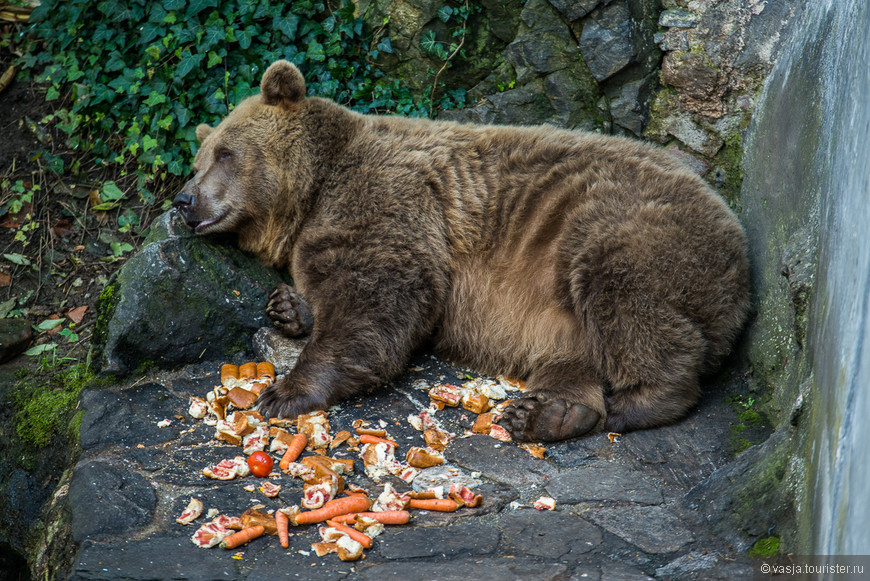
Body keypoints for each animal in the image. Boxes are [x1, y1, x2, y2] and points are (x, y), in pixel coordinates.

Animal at [174, 60, 752, 440]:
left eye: (225, 153)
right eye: (198, 160)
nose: (183, 200)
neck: (311, 193)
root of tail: (738, 235)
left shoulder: (387, 196)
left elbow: (383, 291)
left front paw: (285, 391)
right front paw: (288, 307)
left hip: (628, 231)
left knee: (627, 300)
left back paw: (636, 400)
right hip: (562, 319)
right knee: (577, 356)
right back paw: (549, 413)